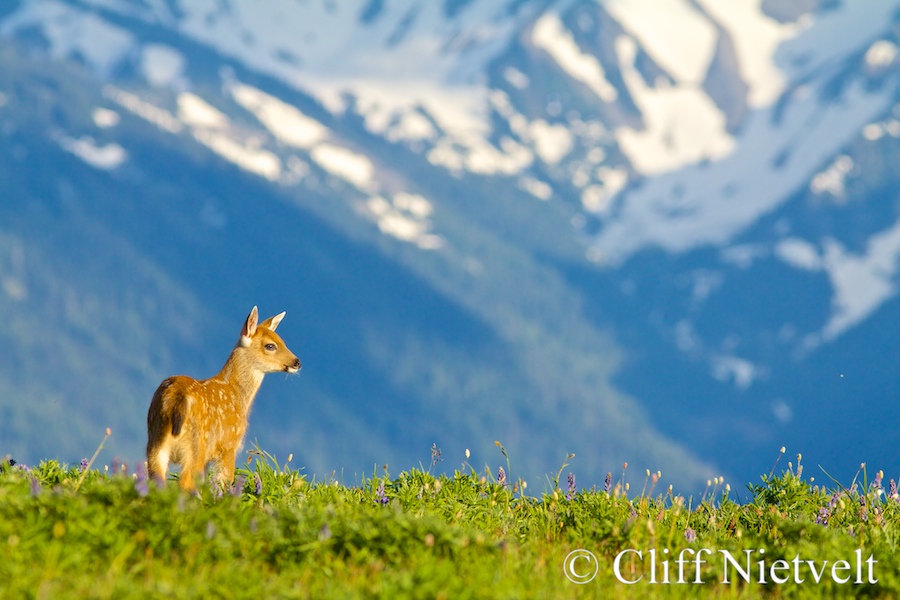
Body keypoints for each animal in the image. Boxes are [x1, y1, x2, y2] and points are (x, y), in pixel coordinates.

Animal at [146, 306, 301, 492]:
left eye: (283, 341)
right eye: (270, 345)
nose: (297, 362)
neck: (236, 393)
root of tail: (176, 398)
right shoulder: (229, 445)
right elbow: (224, 481)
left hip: (156, 441)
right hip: (196, 446)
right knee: (185, 484)